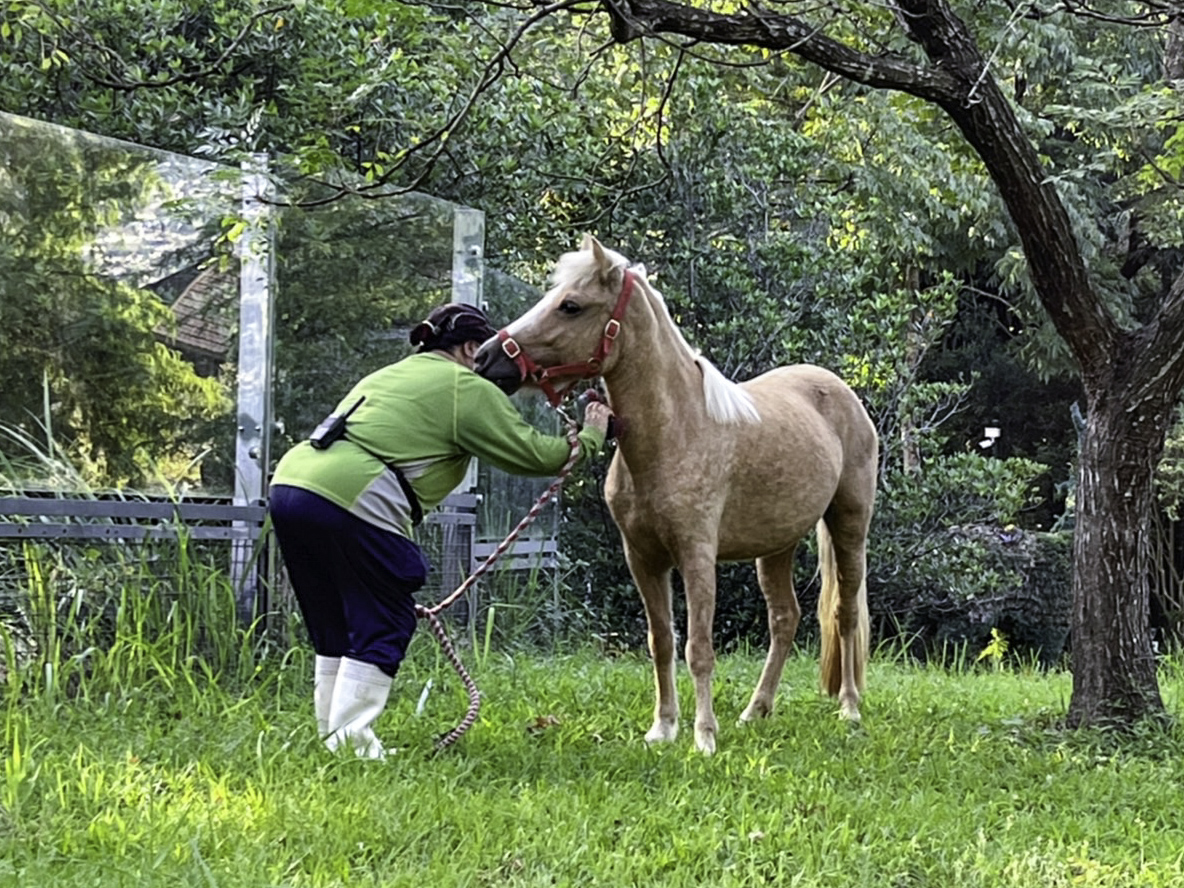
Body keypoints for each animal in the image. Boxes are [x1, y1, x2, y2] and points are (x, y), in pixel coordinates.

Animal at [474, 235, 879, 754]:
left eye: (571, 305)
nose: (487, 358)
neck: (675, 431)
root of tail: (840, 390)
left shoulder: (696, 556)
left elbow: (699, 648)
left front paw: (704, 737)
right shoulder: (643, 558)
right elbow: (661, 640)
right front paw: (663, 728)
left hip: (849, 525)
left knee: (845, 612)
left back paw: (849, 709)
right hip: (776, 545)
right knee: (785, 619)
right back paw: (755, 710)